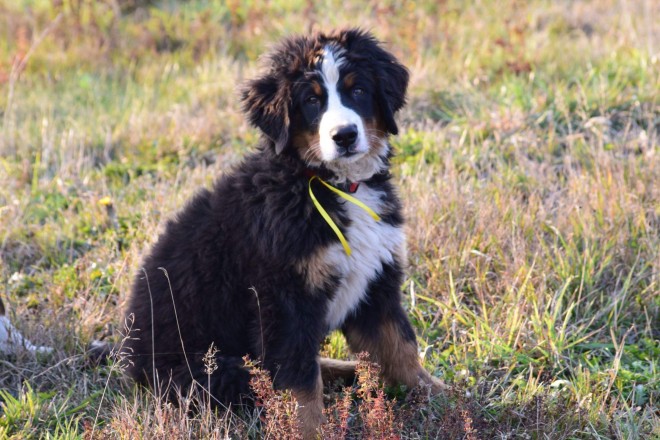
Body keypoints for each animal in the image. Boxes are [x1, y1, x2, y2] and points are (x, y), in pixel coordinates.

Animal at [122, 29, 446, 438]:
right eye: (311, 100)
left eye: (358, 91)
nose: (344, 135)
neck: (328, 185)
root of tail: (130, 361)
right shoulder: (284, 300)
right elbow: (300, 381)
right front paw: (311, 430)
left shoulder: (375, 282)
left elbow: (400, 345)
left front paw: (441, 397)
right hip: (209, 368)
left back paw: (352, 372)